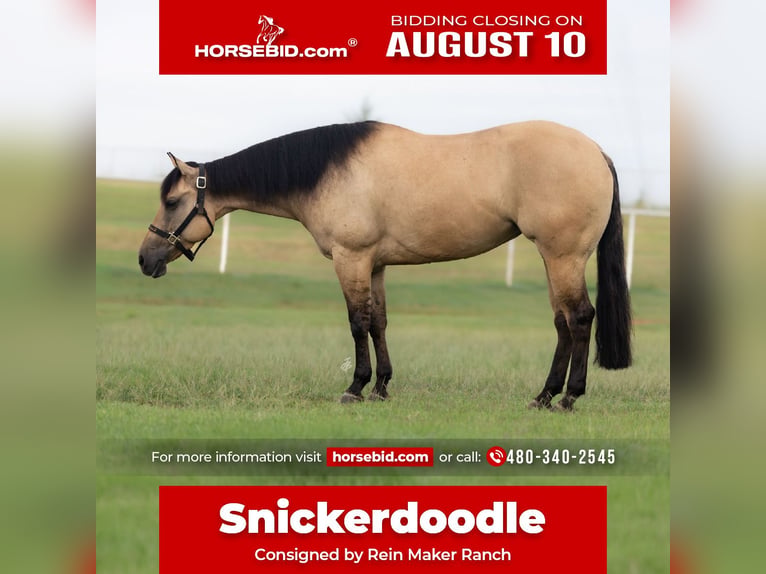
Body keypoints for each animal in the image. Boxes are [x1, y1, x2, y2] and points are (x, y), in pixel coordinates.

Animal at [138, 121, 632, 411]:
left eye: (172, 201)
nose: (145, 259)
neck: (328, 171)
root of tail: (597, 152)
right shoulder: (374, 265)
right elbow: (378, 322)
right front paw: (381, 387)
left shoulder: (351, 258)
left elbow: (357, 323)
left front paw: (355, 388)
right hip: (555, 259)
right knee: (562, 322)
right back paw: (545, 395)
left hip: (562, 256)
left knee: (579, 318)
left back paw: (567, 397)